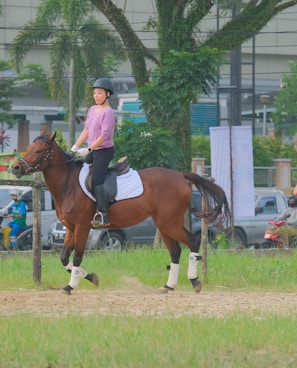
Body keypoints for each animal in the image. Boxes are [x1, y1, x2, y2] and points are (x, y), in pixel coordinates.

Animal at [11, 134, 230, 294]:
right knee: (175, 251)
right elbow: (65, 258)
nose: (15, 167)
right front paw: (90, 277)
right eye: (28, 148)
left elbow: (78, 257)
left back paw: (194, 282)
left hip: (170, 223)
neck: (68, 184)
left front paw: (70, 286)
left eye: (39, 151)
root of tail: (179, 175)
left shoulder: (82, 227)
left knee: (193, 242)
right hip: (163, 224)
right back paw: (168, 286)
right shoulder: (71, 229)